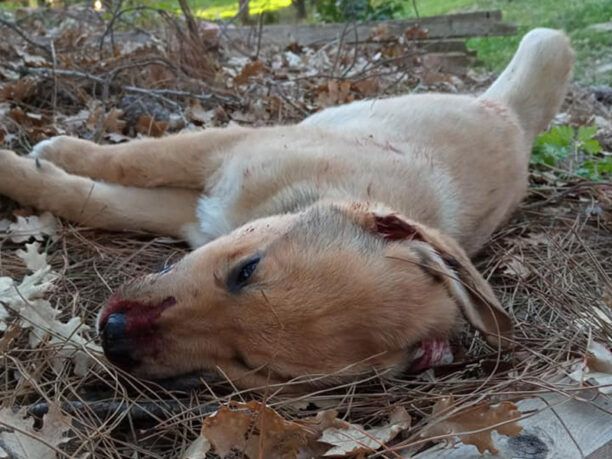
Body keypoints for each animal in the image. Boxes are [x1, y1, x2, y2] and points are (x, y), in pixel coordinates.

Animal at [0, 28, 572, 390]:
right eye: (245, 270)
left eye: (248, 363)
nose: (111, 335)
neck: (322, 187)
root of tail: (512, 120)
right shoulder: (221, 151)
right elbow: (124, 165)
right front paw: (48, 156)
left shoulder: (194, 207)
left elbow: (101, 200)